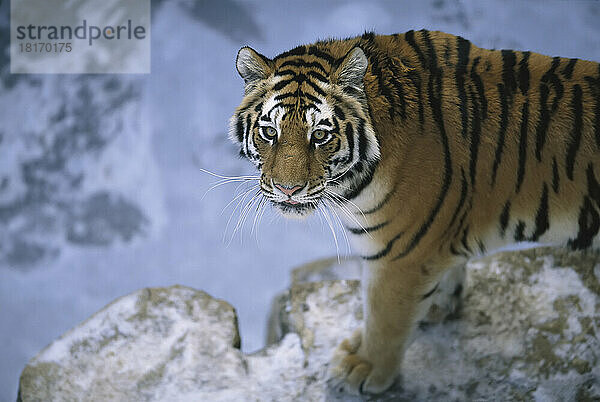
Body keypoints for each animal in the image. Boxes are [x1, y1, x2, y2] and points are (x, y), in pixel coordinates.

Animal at [229, 29, 600, 394]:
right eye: (269, 132)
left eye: (319, 135)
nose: (287, 189)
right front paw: (438, 304)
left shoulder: (400, 256)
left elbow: (384, 318)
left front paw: (363, 368)